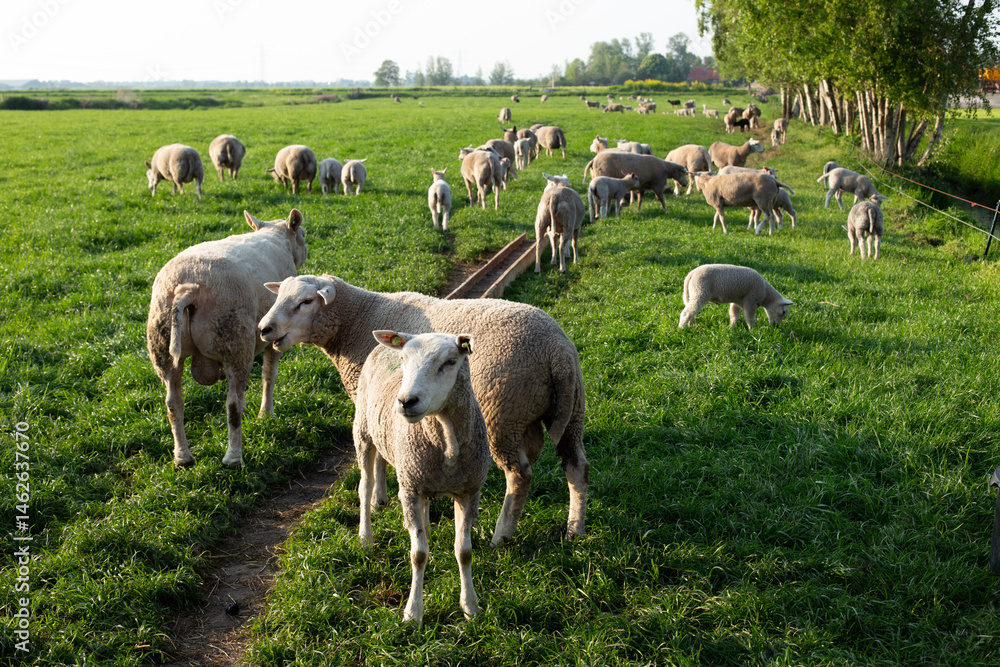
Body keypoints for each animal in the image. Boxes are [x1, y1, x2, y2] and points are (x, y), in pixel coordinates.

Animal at [147, 209, 308, 468]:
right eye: (303, 235)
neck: (275, 235)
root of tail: (188, 288)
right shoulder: (275, 333)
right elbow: (269, 375)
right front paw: (266, 414)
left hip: (162, 345)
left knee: (173, 403)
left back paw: (183, 457)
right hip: (235, 342)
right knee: (233, 405)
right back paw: (233, 457)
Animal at [257, 274, 589, 545]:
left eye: (306, 301)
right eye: (279, 296)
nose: (264, 329)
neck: (359, 320)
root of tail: (557, 350)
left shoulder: (371, 400)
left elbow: (378, 456)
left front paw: (377, 498)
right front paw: (382, 498)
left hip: (502, 414)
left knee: (519, 475)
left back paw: (501, 534)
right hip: (564, 412)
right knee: (576, 466)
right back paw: (574, 529)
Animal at [354, 330, 490, 626]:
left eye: (450, 361)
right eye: (404, 360)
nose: (406, 401)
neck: (446, 443)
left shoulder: (468, 491)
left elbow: (464, 552)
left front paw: (470, 607)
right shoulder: (410, 489)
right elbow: (418, 555)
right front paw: (413, 613)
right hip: (363, 433)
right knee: (365, 487)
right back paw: (365, 538)